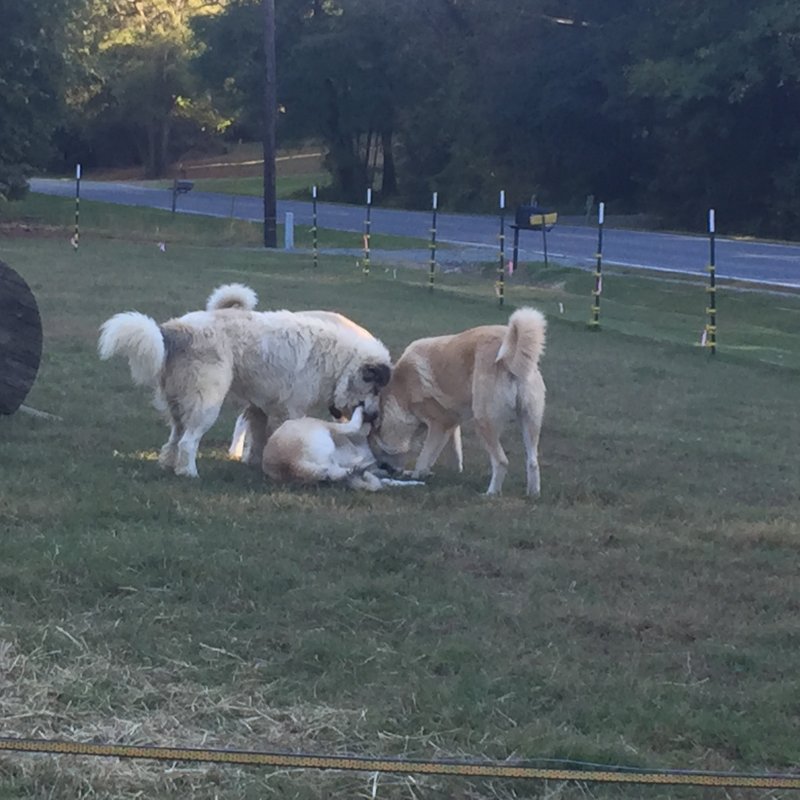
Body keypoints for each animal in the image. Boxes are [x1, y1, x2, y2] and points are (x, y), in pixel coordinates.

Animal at [372, 306, 548, 494]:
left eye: (377, 447)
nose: (387, 470)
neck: (402, 390)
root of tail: (510, 359)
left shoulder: (438, 425)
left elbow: (424, 457)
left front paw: (417, 475)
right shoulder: (450, 424)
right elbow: (450, 452)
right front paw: (448, 472)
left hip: (484, 421)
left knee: (501, 462)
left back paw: (490, 493)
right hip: (530, 422)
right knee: (532, 462)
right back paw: (533, 493)